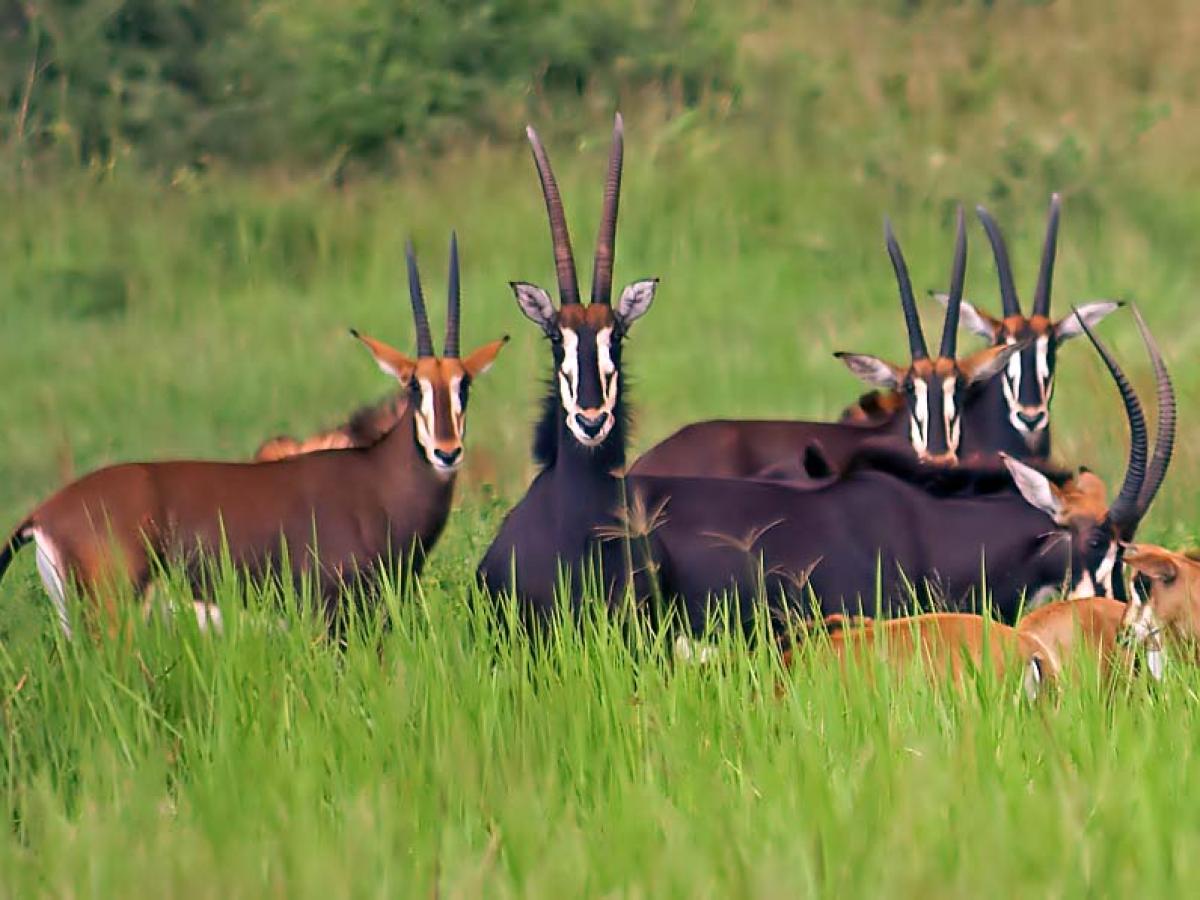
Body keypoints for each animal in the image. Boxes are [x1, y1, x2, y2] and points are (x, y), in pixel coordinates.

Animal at [0, 236, 506, 638]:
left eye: (464, 384)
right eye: (413, 385)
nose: (446, 453)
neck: (375, 482)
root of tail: (42, 514)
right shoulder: (332, 616)